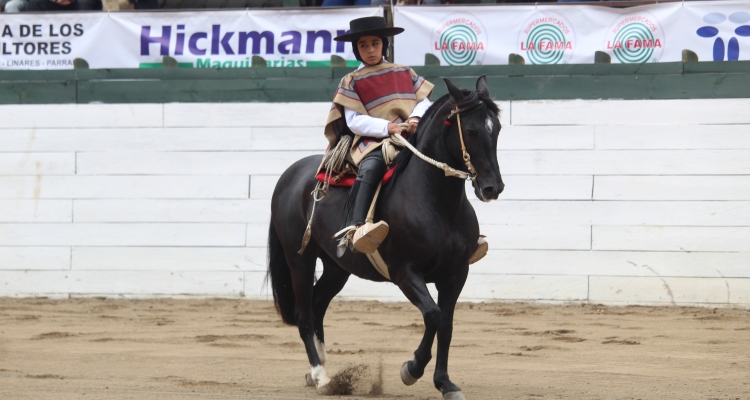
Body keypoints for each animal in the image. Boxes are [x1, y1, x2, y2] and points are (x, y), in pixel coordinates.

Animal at [268, 76, 502, 398]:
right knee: (304, 314)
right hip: (299, 260)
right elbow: (433, 315)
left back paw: (320, 365)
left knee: (317, 304)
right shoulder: (405, 272)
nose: (493, 187)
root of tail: (290, 175)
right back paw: (320, 376)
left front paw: (445, 382)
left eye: (497, 128)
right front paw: (411, 369)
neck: (436, 203)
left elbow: (446, 324)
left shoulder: (456, 273)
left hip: (337, 268)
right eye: (470, 131)